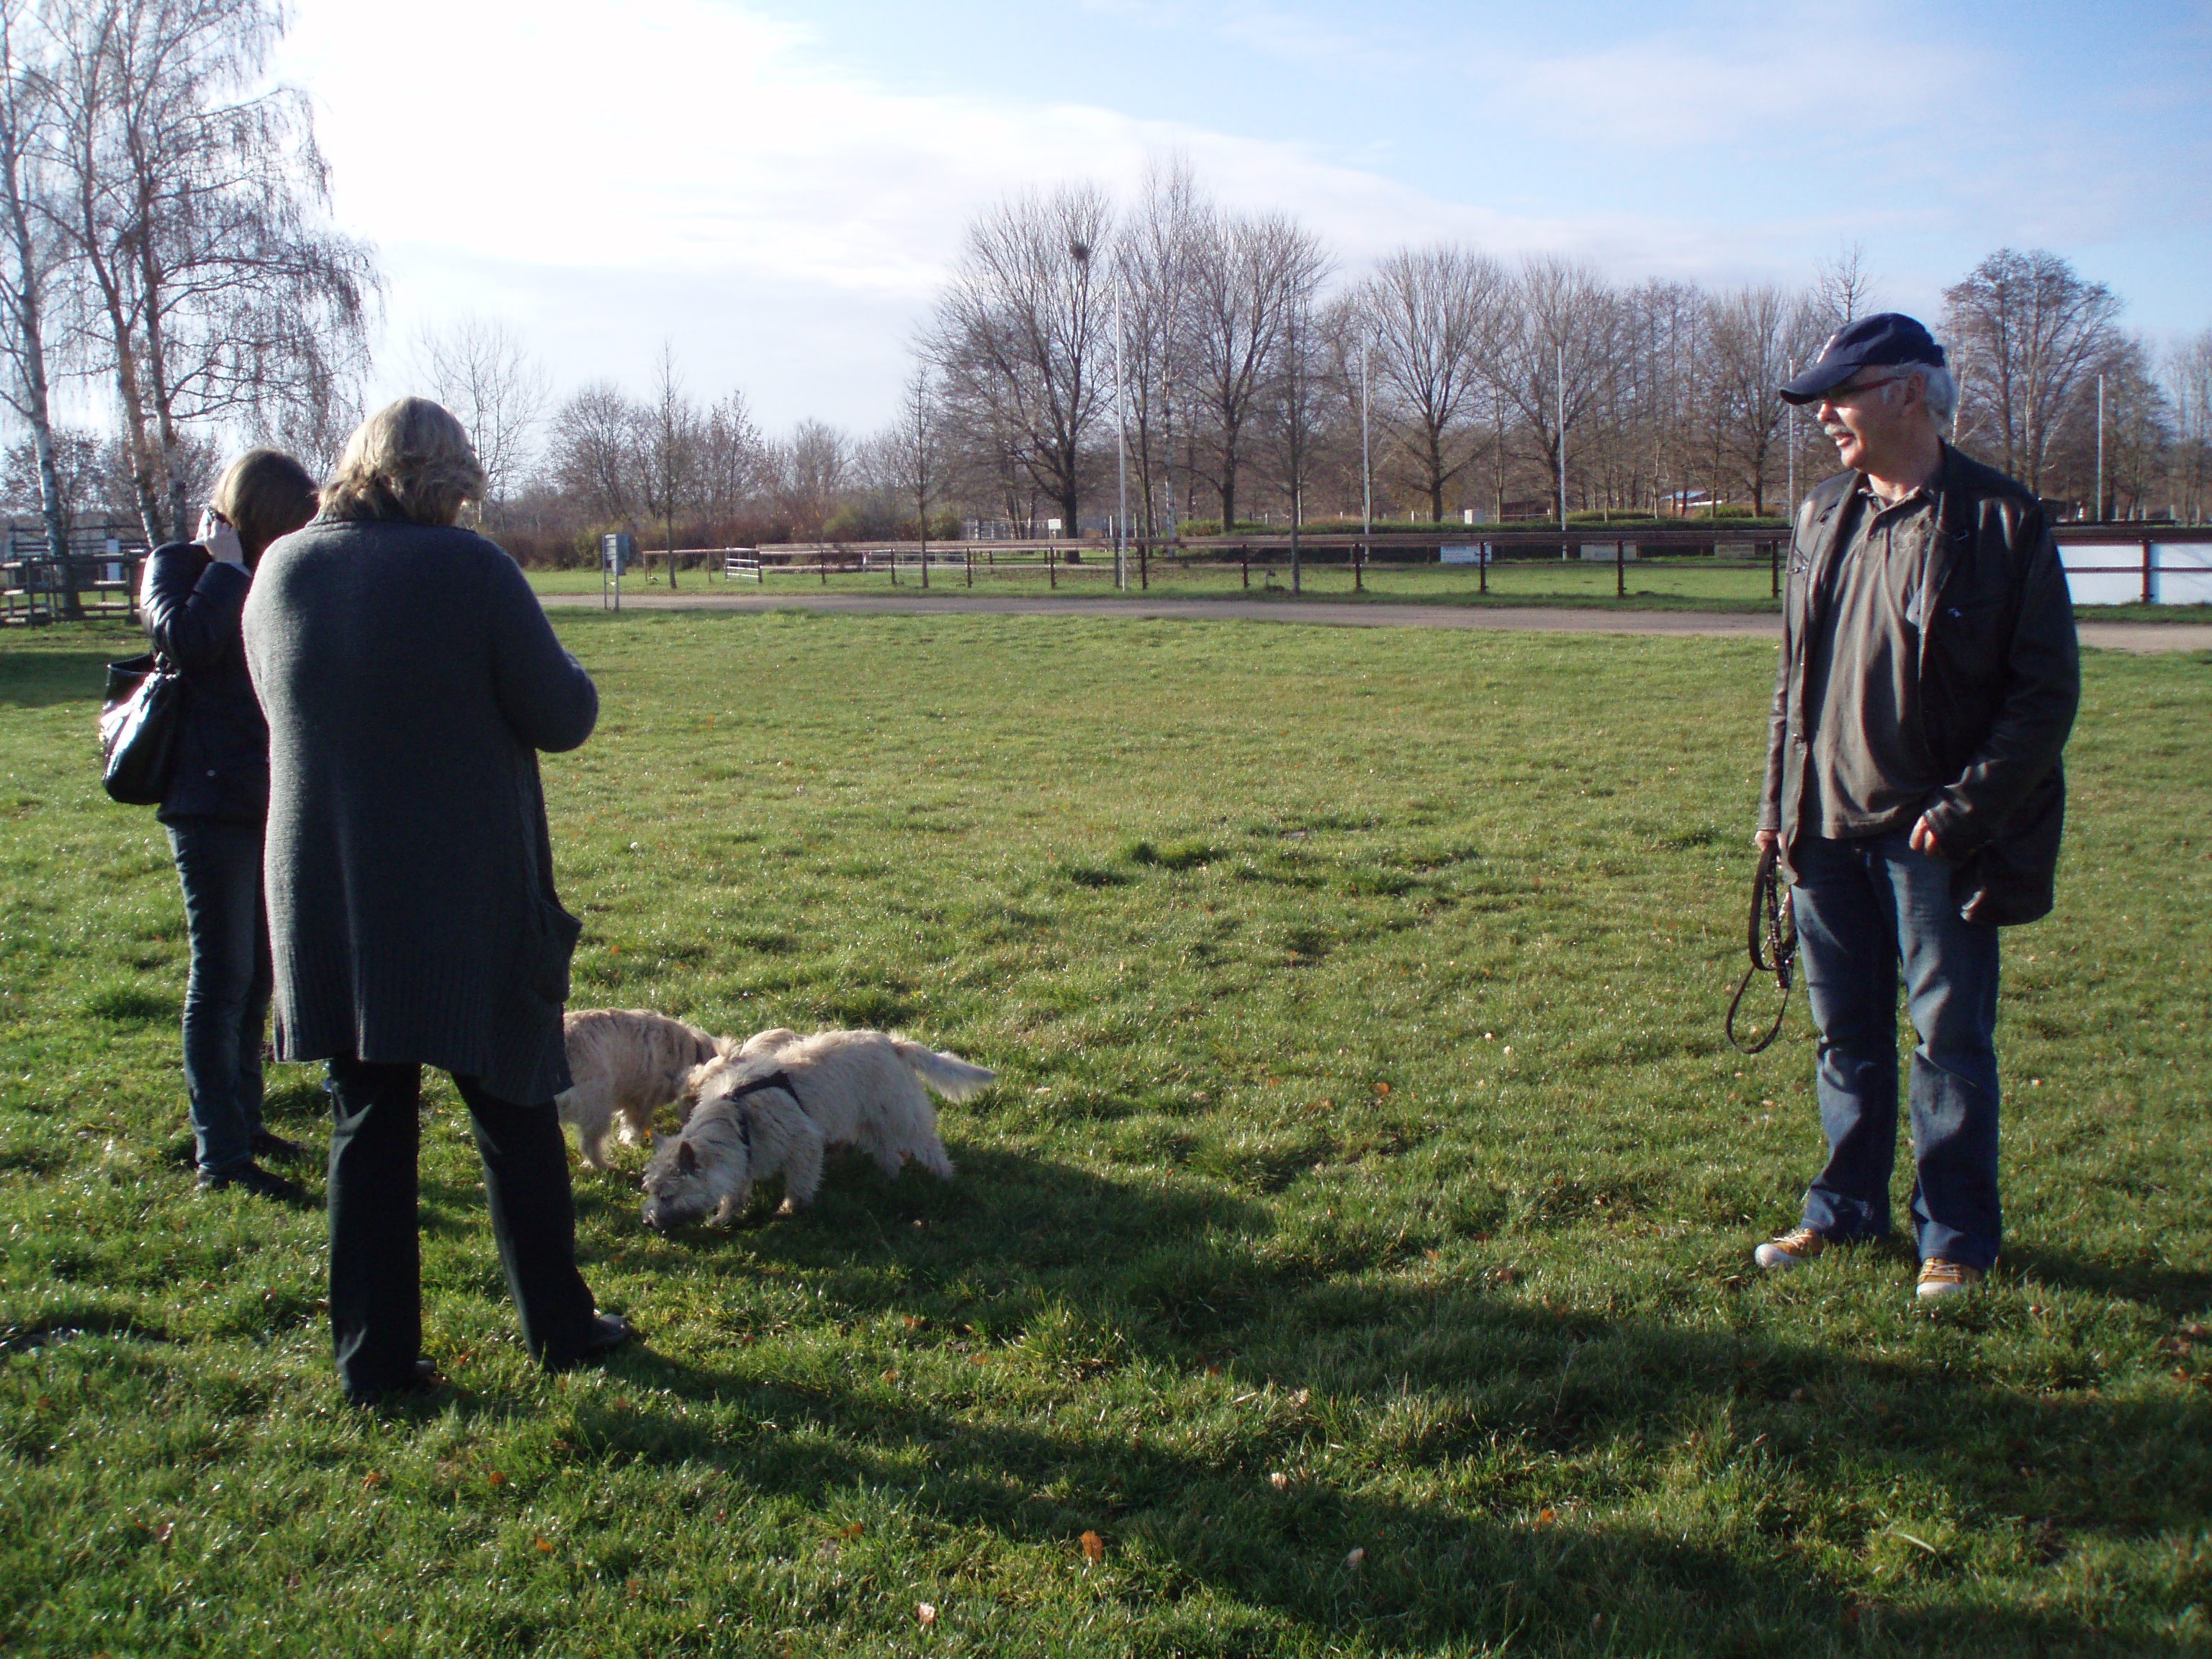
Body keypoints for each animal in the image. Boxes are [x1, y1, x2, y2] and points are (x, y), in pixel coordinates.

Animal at [553, 1008, 716, 1177]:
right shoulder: (643, 1099)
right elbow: (636, 1124)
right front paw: (633, 1142)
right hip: (597, 1108)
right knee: (590, 1145)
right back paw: (606, 1166)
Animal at [637, 1026, 991, 1238]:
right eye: (651, 1191)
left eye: (668, 1195)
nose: (647, 1221)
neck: (736, 1117)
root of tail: (892, 1042)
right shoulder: (743, 1157)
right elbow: (735, 1192)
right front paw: (724, 1217)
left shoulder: (803, 1144)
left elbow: (799, 1182)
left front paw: (790, 1209)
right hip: (868, 1121)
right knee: (888, 1152)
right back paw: (888, 1178)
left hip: (901, 1116)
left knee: (928, 1145)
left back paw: (945, 1177)